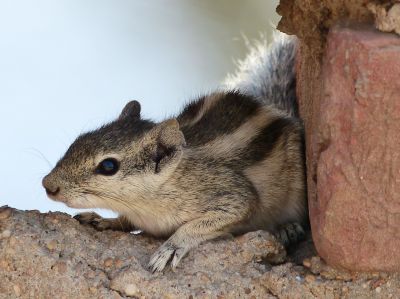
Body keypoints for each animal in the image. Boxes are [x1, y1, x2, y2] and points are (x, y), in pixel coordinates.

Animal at [42, 32, 306, 272]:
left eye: (108, 166)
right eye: (78, 140)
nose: (48, 185)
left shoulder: (232, 196)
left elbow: (202, 223)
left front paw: (171, 247)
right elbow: (125, 222)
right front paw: (105, 220)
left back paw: (287, 228)